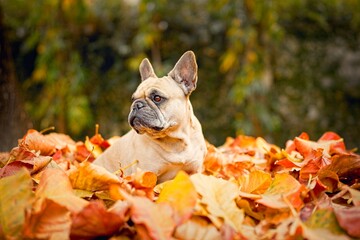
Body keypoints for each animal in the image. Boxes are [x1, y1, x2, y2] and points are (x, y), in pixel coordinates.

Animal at [93, 50, 207, 182]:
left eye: (157, 98)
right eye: (133, 99)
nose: (136, 105)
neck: (175, 140)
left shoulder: (194, 172)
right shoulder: (146, 173)